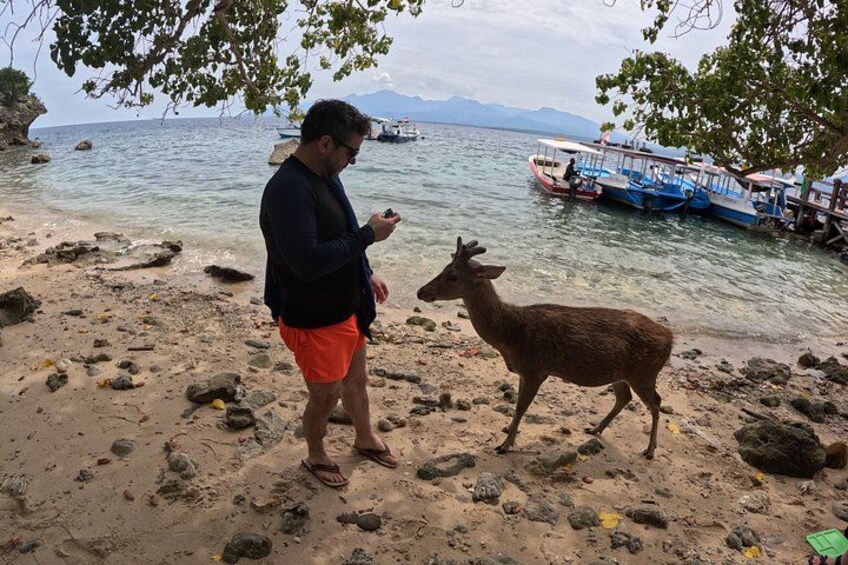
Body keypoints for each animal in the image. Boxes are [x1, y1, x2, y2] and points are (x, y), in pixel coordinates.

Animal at [416, 238, 674, 459]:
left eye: (453, 275)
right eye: (445, 267)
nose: (421, 291)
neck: (511, 336)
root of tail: (671, 337)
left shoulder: (536, 368)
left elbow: (521, 408)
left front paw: (505, 445)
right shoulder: (524, 371)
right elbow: (516, 406)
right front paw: (507, 430)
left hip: (645, 373)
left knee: (656, 403)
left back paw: (649, 450)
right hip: (621, 373)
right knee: (625, 397)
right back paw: (595, 429)